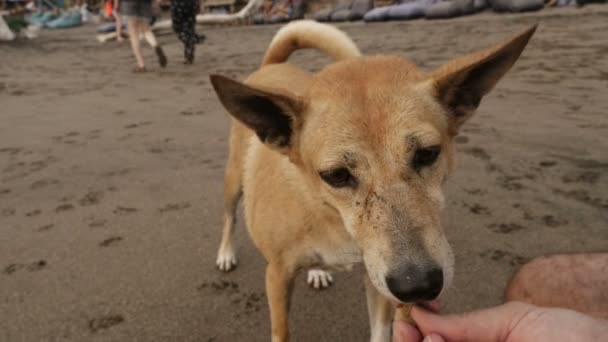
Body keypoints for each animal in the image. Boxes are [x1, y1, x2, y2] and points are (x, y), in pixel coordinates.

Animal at [209, 22, 536, 342]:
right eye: (337, 175)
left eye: (427, 153)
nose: (418, 285)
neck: (331, 217)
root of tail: (273, 65)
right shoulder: (277, 276)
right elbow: (281, 331)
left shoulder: (377, 279)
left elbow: (380, 330)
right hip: (232, 183)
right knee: (228, 217)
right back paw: (225, 253)